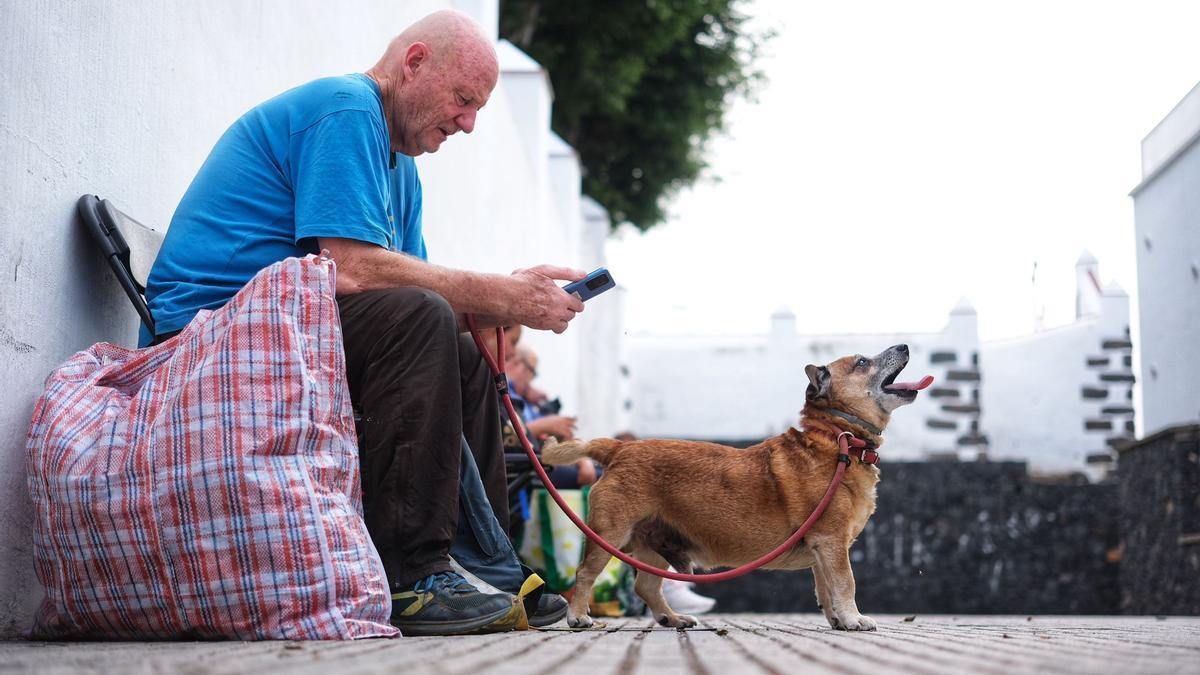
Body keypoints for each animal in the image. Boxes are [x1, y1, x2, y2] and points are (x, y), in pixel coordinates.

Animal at [540, 343, 931, 629]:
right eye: (863, 362)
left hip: (652, 543)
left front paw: (837, 619)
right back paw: (578, 616)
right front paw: (853, 618)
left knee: (644, 585)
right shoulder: (832, 542)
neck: (838, 439)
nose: (904, 344)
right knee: (584, 574)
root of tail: (620, 447)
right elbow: (845, 583)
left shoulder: (823, 550)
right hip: (608, 535)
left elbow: (825, 587)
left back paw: (671, 618)